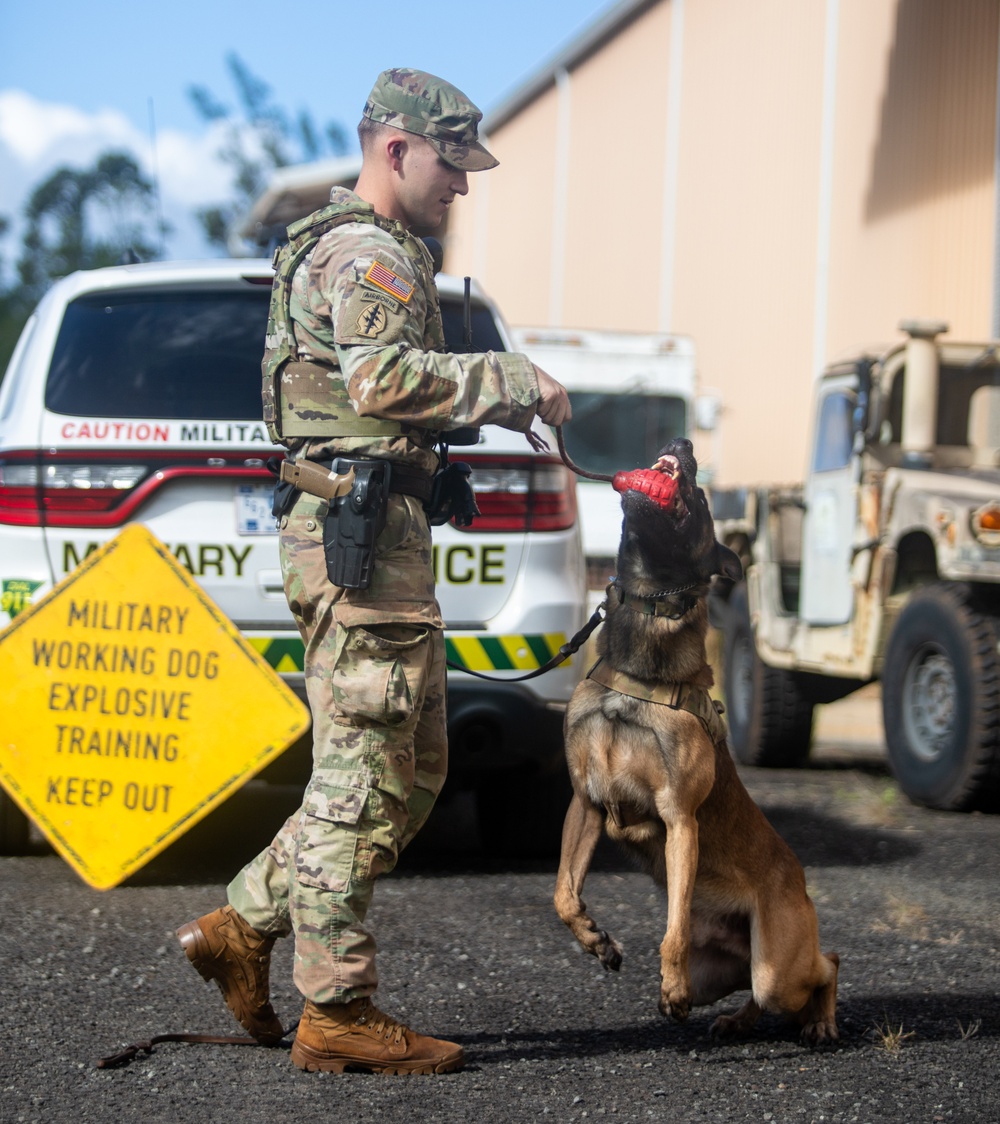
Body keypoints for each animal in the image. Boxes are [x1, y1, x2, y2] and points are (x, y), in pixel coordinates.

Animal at [552, 438, 835, 1043]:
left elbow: (673, 928)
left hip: (779, 965)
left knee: (824, 967)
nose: (681, 443)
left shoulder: (681, 821)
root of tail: (800, 880)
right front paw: (596, 939)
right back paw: (734, 1021)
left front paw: (671, 990)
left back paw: (821, 1021)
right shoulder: (585, 804)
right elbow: (563, 893)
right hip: (733, 973)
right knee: (758, 994)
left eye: (701, 498)